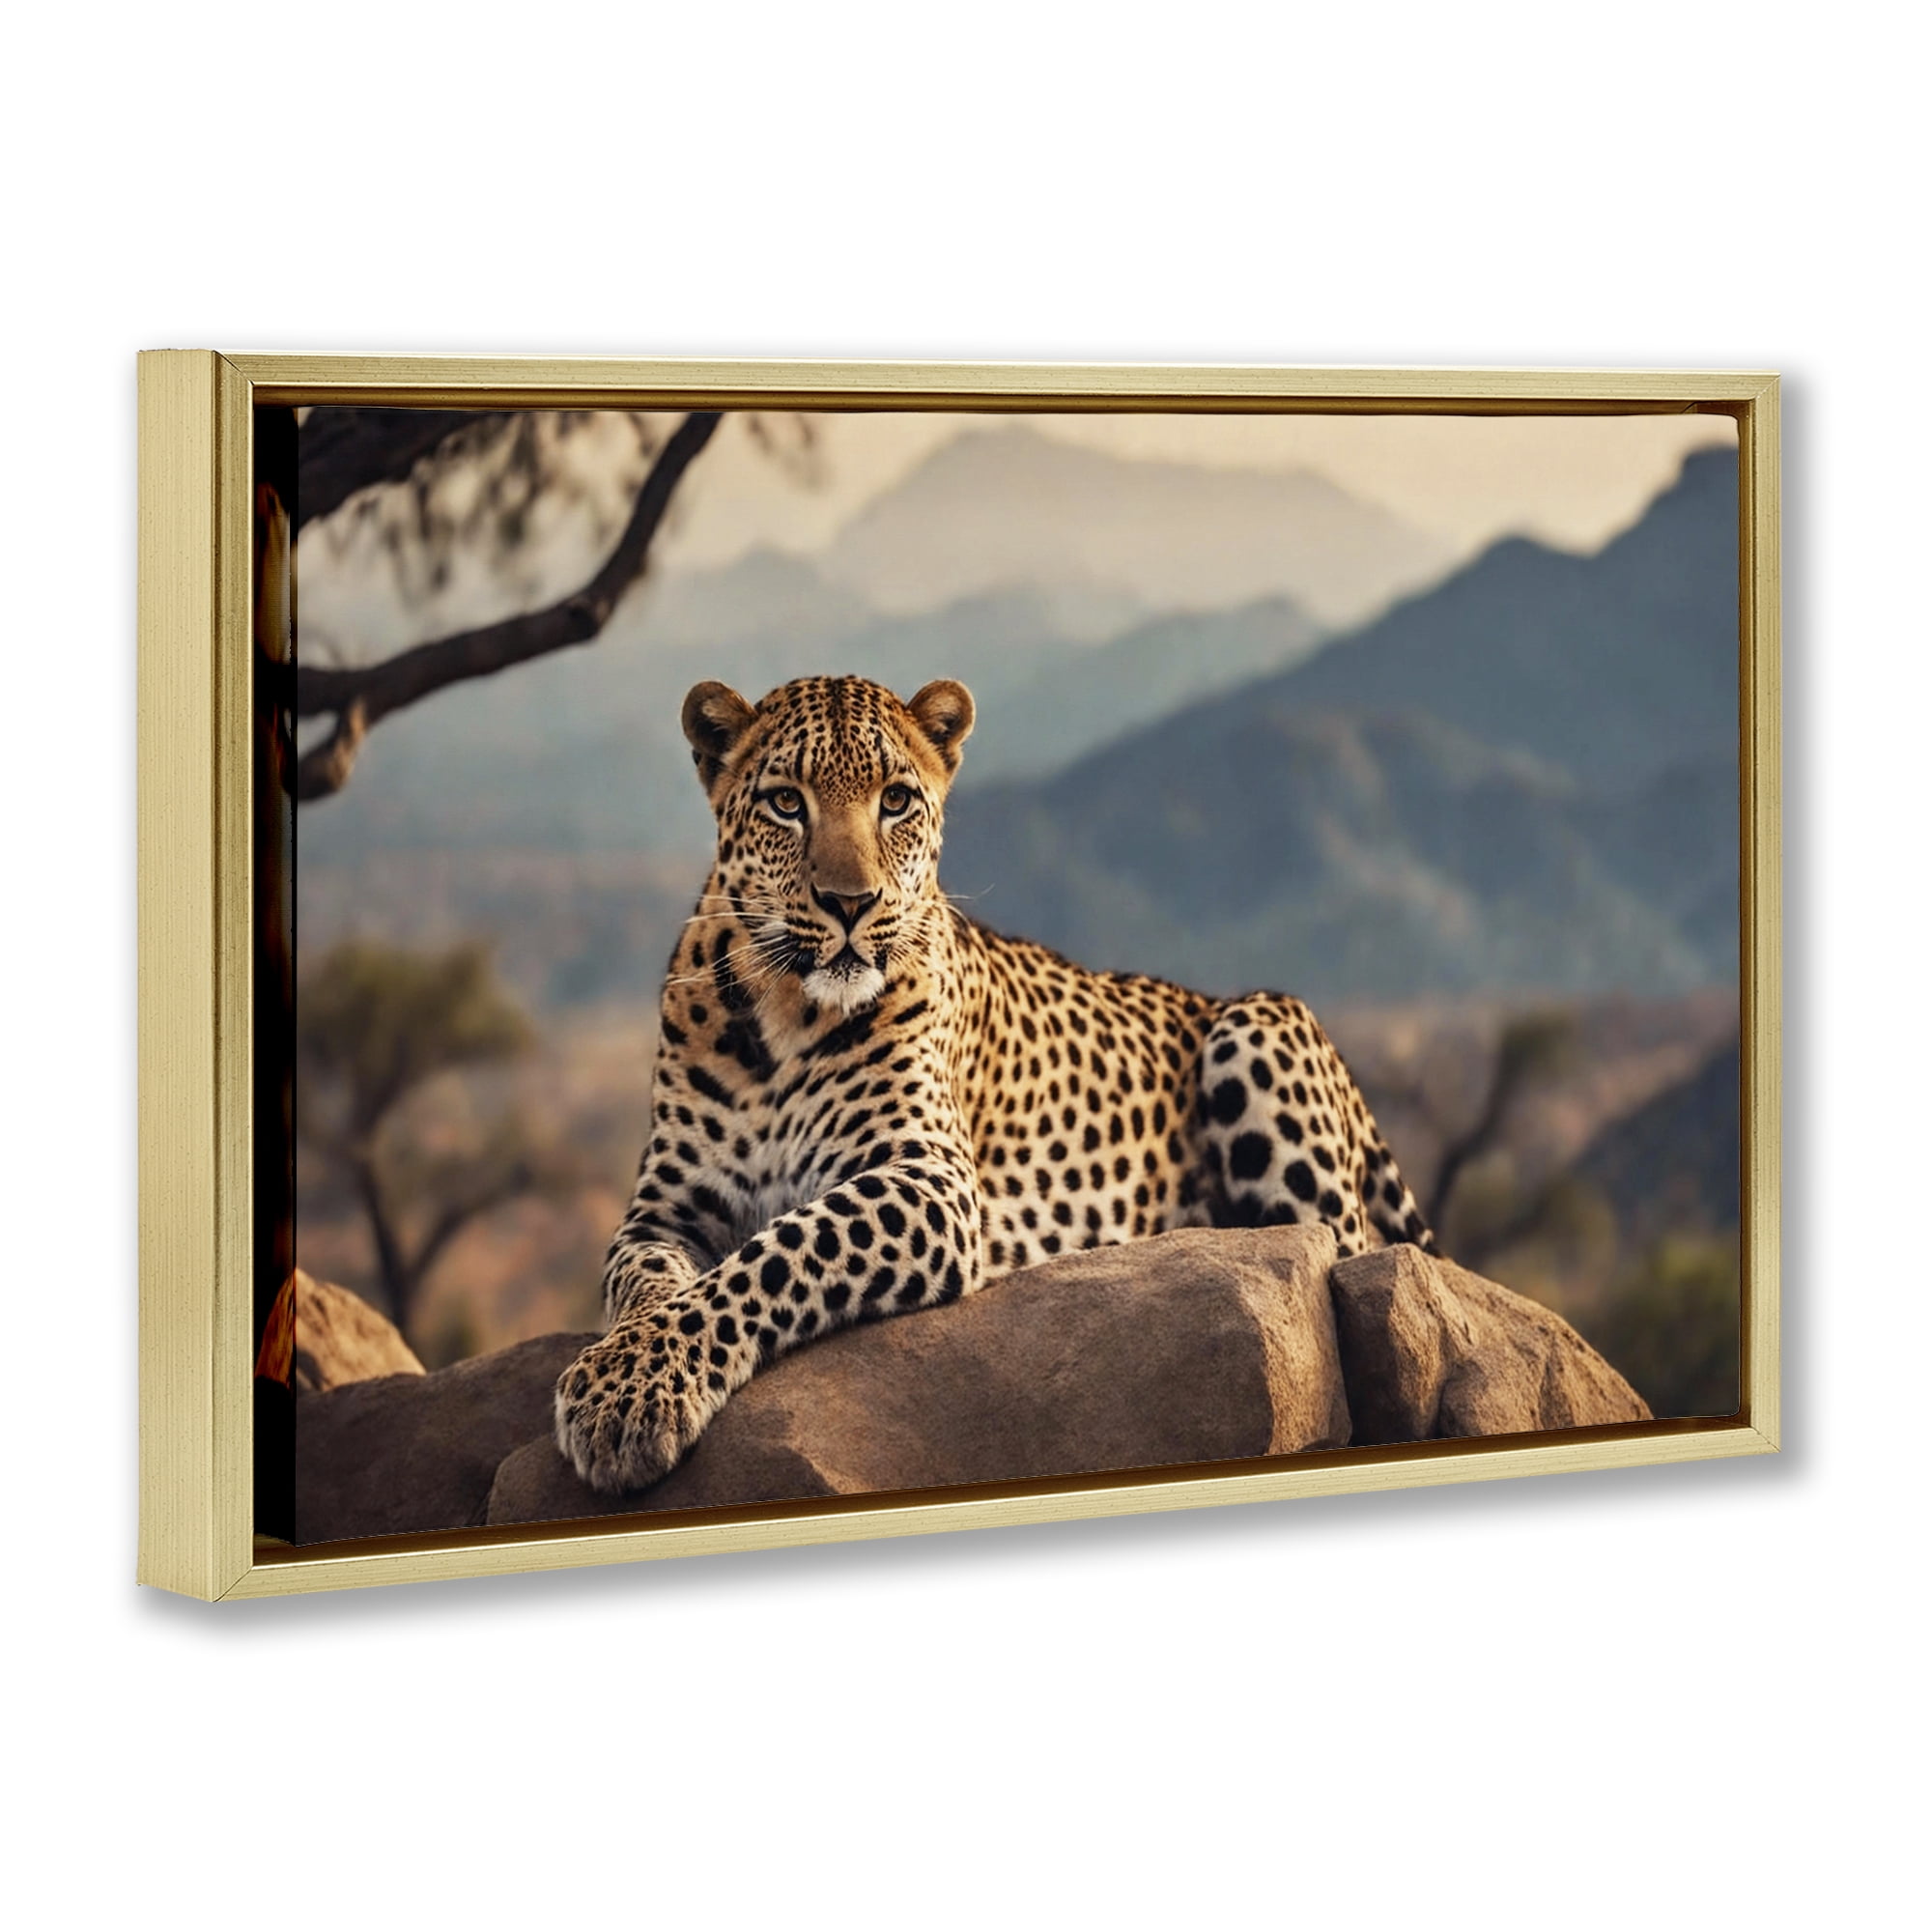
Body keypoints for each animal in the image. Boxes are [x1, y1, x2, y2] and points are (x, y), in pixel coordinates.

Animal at [555, 672, 1437, 1493]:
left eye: (896, 801)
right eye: (784, 803)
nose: (850, 903)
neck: (783, 1013)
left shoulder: (927, 1178)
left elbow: (776, 1253)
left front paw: (627, 1392)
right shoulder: (665, 1207)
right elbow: (647, 1282)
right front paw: (623, 1371)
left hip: (1260, 1030)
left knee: (1339, 1252)